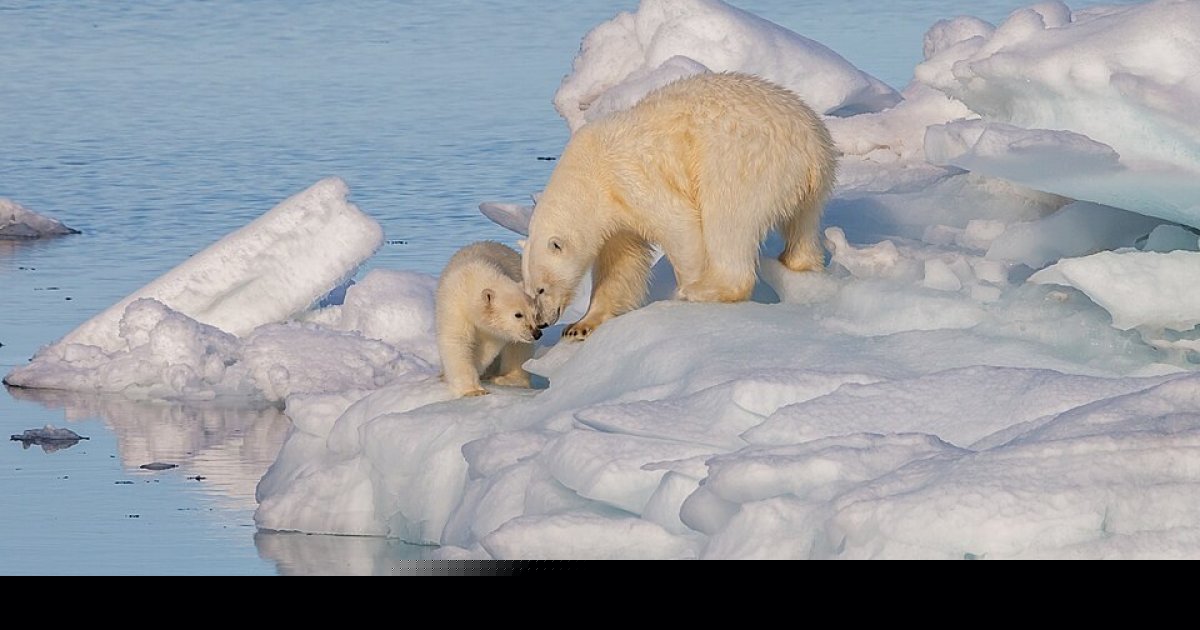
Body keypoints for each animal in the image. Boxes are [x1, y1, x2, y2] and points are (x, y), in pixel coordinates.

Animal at [436, 241, 542, 397]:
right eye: (518, 314)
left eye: (535, 314)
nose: (536, 333)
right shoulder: (454, 305)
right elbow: (457, 340)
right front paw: (473, 390)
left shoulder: (494, 332)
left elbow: (487, 347)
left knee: (518, 349)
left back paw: (506, 379)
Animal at [522, 72, 837, 339]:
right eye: (527, 290)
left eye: (541, 288)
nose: (542, 322)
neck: (590, 174)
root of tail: (812, 146)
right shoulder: (615, 216)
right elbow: (620, 264)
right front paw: (581, 325)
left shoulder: (630, 178)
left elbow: (679, 225)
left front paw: (687, 286)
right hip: (811, 185)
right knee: (803, 226)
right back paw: (798, 262)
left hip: (742, 161)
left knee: (728, 222)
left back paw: (703, 290)